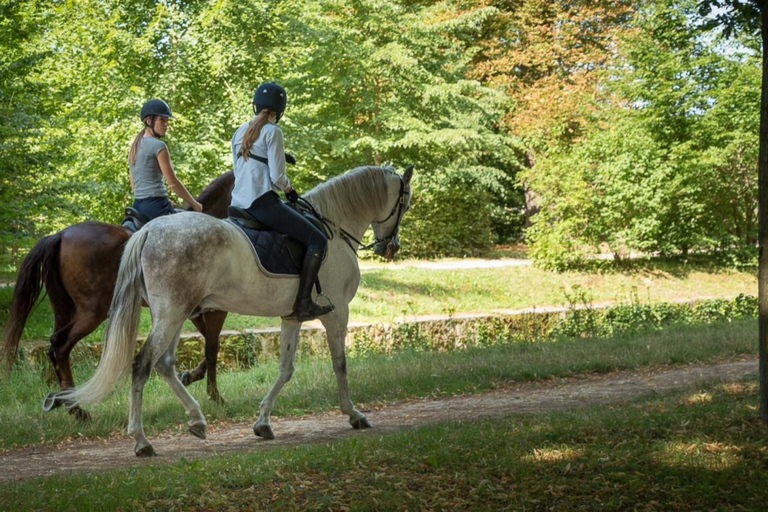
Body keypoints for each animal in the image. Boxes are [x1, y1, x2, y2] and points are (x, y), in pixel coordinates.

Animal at [0, 170, 234, 418]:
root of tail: (60, 235)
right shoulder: (215, 310)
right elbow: (212, 348)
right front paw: (215, 396)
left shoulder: (192, 310)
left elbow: (209, 344)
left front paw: (190, 376)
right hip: (93, 312)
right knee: (60, 346)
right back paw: (77, 409)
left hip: (64, 308)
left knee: (55, 348)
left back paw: (68, 404)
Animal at [48, 164, 414, 456]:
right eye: (405, 202)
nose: (390, 247)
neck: (333, 228)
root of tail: (149, 230)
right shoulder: (337, 314)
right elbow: (340, 364)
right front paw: (354, 414)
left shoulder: (293, 316)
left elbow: (285, 369)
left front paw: (263, 422)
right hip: (165, 314)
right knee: (140, 364)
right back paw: (140, 440)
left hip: (176, 313)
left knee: (163, 364)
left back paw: (195, 420)